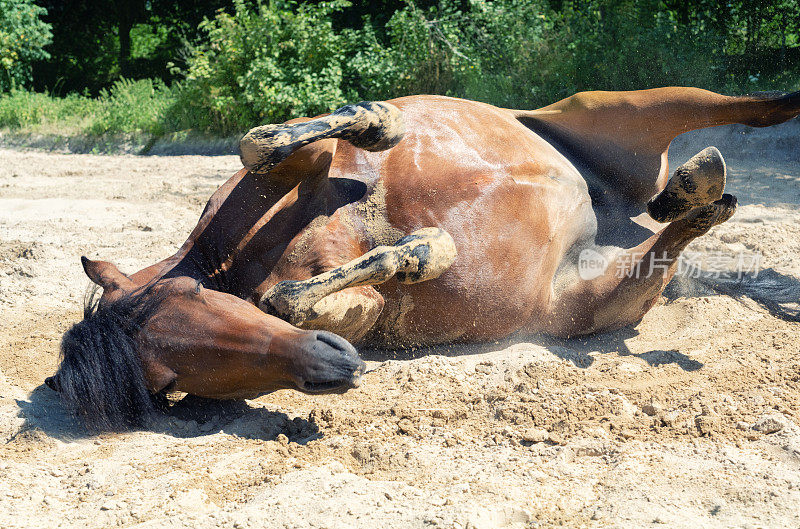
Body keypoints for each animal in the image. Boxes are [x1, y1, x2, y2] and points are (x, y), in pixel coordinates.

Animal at [47, 87, 796, 428]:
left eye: (194, 297)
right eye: (174, 386)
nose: (334, 365)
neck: (232, 261)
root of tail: (612, 217)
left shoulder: (299, 166)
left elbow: (265, 140)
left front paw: (382, 124)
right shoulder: (352, 312)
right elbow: (296, 297)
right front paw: (425, 247)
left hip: (620, 107)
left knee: (758, 108)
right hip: (605, 293)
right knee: (677, 233)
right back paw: (695, 194)